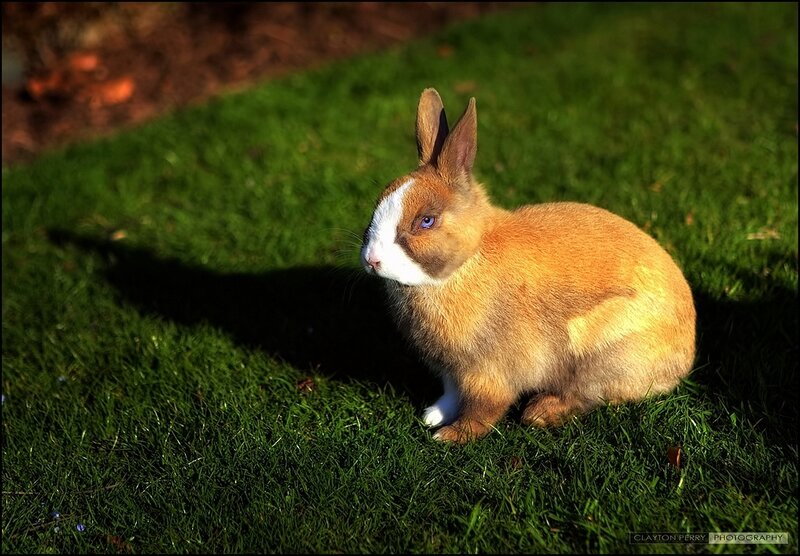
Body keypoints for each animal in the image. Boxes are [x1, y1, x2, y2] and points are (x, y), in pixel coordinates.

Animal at [360, 88, 696, 443]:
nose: (371, 259)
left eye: (426, 221)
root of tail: (686, 353)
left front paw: (451, 435)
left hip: (604, 356)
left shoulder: (486, 372)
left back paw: (539, 412)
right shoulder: (450, 370)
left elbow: (483, 408)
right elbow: (451, 394)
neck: (466, 262)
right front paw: (433, 416)